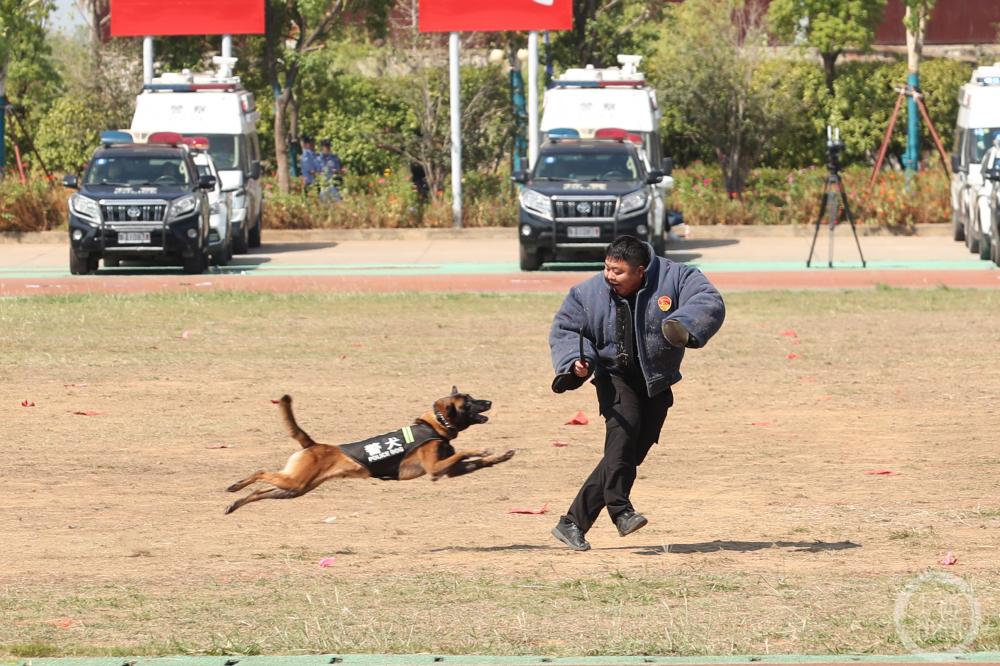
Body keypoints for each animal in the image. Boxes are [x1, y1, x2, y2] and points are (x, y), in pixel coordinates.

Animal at [226, 386, 516, 510]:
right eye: (468, 403)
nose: (489, 402)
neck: (434, 425)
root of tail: (313, 445)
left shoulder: (449, 471)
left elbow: (474, 462)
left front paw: (501, 457)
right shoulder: (435, 470)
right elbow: (467, 451)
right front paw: (484, 449)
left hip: (294, 488)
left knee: (260, 491)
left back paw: (235, 503)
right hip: (295, 482)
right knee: (261, 472)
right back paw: (235, 486)